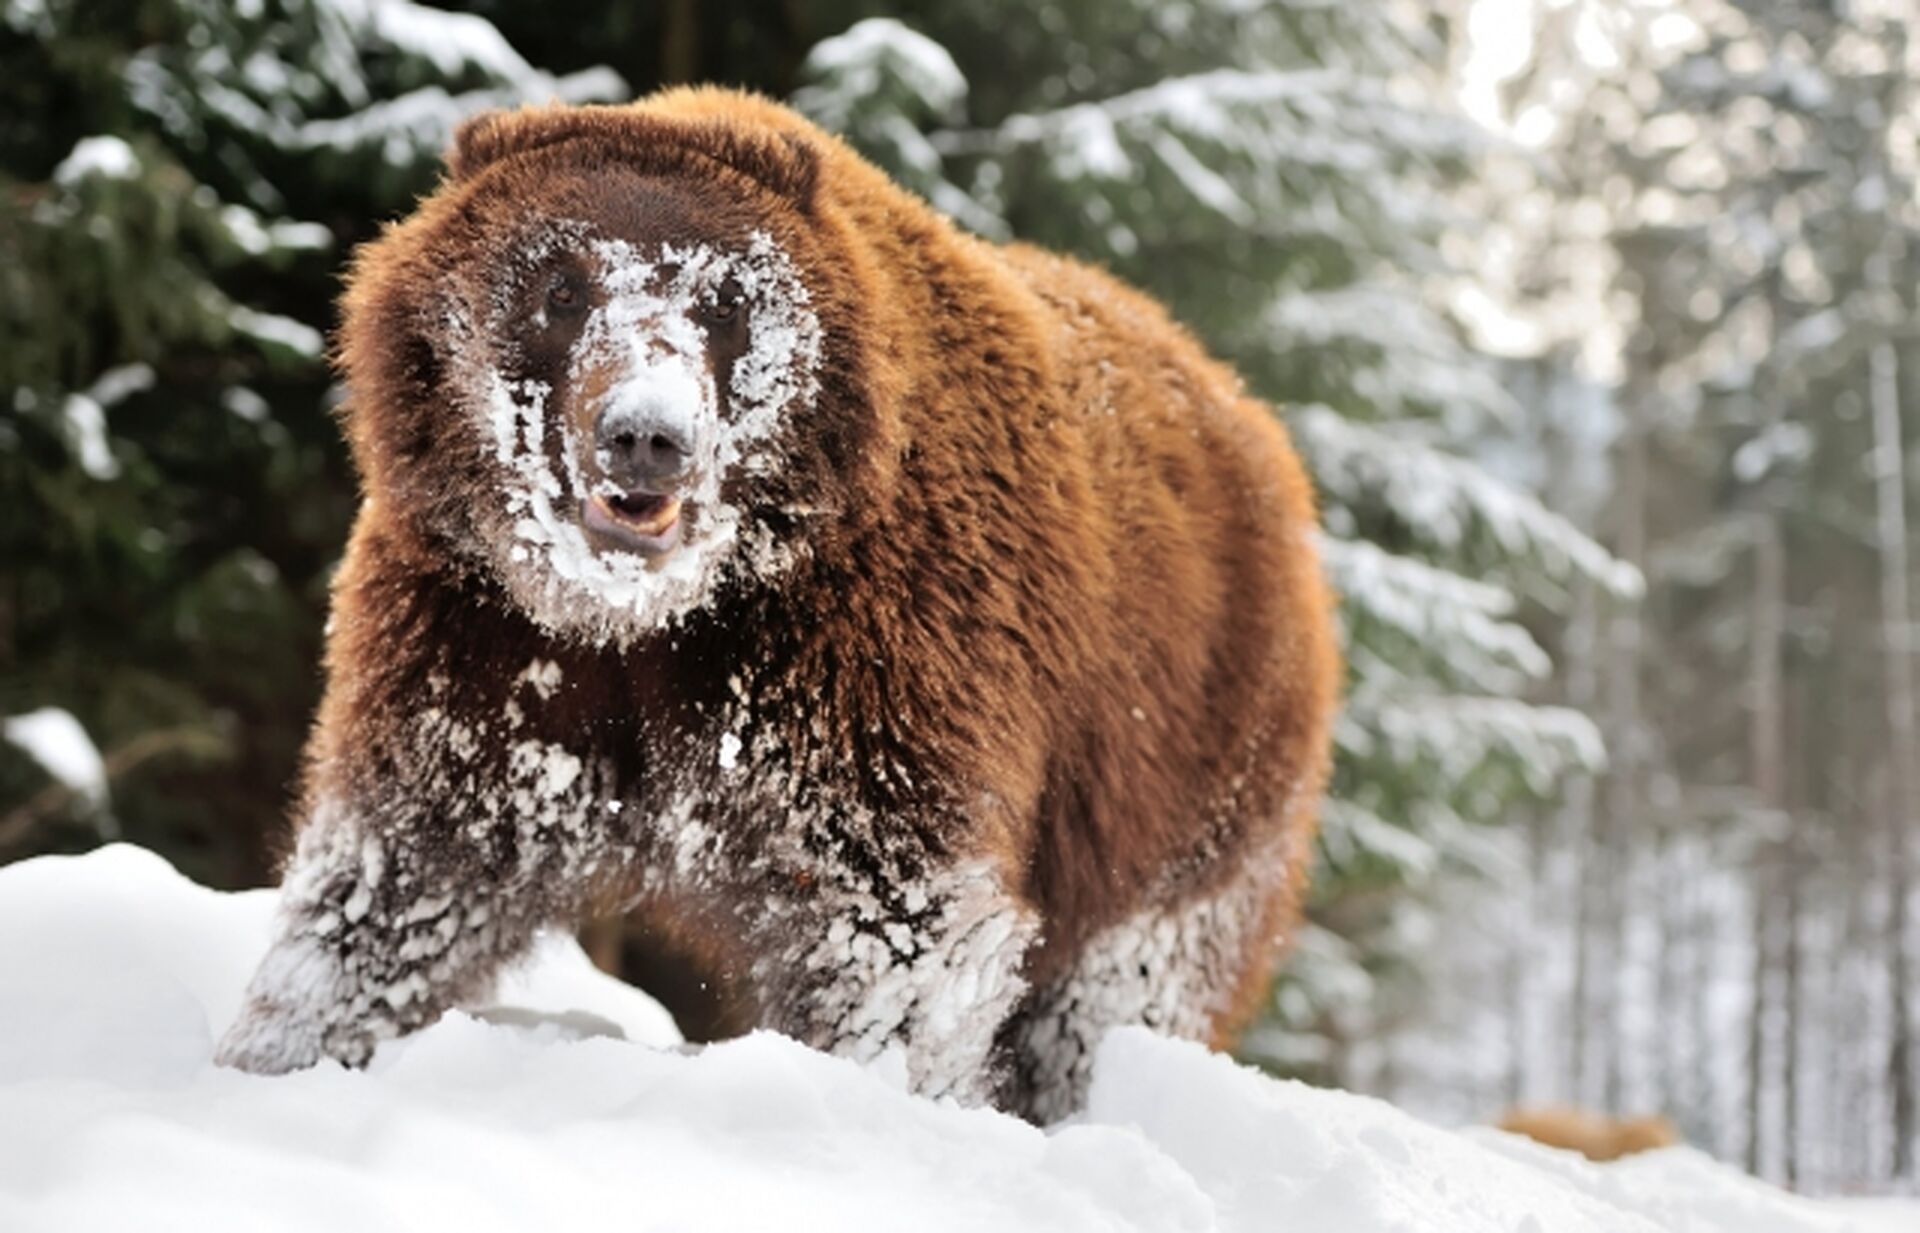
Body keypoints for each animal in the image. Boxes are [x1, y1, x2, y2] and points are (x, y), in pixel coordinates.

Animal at [214, 84, 1336, 1121]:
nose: (647, 434)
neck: (649, 617)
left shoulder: (866, 662)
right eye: (560, 285)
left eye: (723, 300)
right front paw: (277, 1056)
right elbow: (402, 875)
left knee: (1118, 995)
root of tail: (1249, 416)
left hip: (1185, 770)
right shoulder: (490, 646)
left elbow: (895, 932)